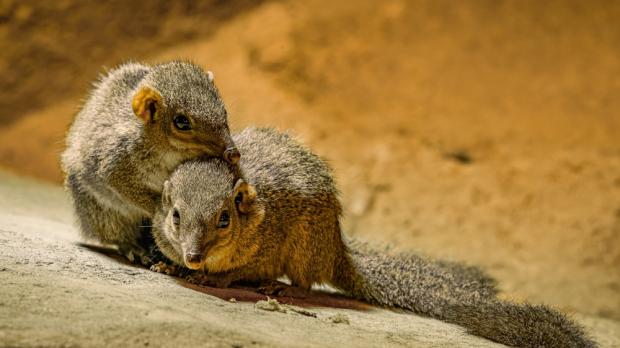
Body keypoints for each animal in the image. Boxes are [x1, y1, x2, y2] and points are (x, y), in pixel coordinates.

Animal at [59, 60, 240, 266]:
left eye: (224, 111)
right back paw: (135, 248)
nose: (233, 153)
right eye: (181, 122)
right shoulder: (115, 159)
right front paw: (160, 207)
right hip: (105, 214)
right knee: (117, 236)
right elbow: (124, 185)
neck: (170, 151)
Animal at [149, 128, 596, 348]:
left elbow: (242, 269)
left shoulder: (269, 243)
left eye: (224, 219)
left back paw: (281, 288)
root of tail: (339, 250)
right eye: (176, 216)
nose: (193, 256)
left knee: (305, 281)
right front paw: (167, 265)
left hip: (305, 247)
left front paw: (213, 277)